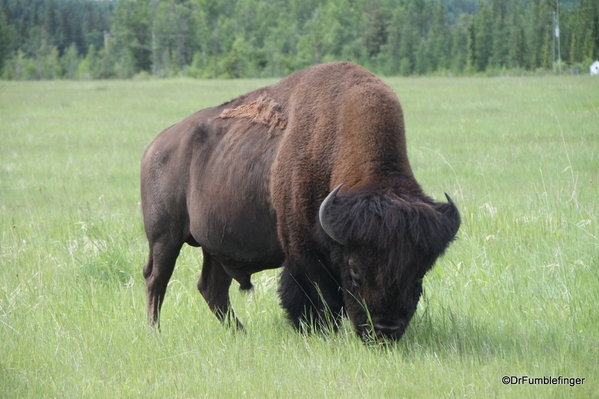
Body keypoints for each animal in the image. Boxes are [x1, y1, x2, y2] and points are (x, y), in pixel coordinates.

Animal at [141, 61, 460, 340]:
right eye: (355, 269)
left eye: (420, 272)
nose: (385, 329)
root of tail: (155, 146)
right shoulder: (305, 252)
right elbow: (318, 297)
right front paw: (318, 332)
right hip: (164, 237)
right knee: (157, 280)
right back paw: (155, 332)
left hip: (215, 246)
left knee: (212, 288)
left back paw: (241, 333)